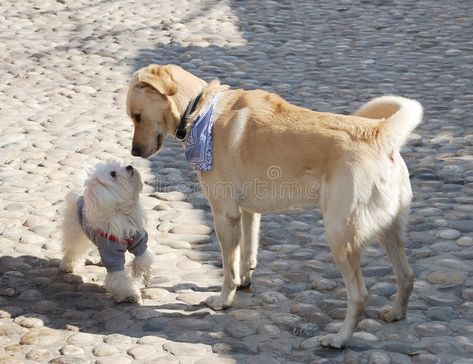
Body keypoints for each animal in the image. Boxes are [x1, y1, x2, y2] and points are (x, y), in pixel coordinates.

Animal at [60, 161, 153, 302]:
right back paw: (69, 265)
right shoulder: (111, 252)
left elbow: (142, 258)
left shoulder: (139, 241)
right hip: (76, 231)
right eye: (113, 174)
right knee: (73, 248)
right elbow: (118, 277)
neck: (123, 214)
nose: (130, 167)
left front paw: (142, 275)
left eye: (121, 165)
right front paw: (129, 294)